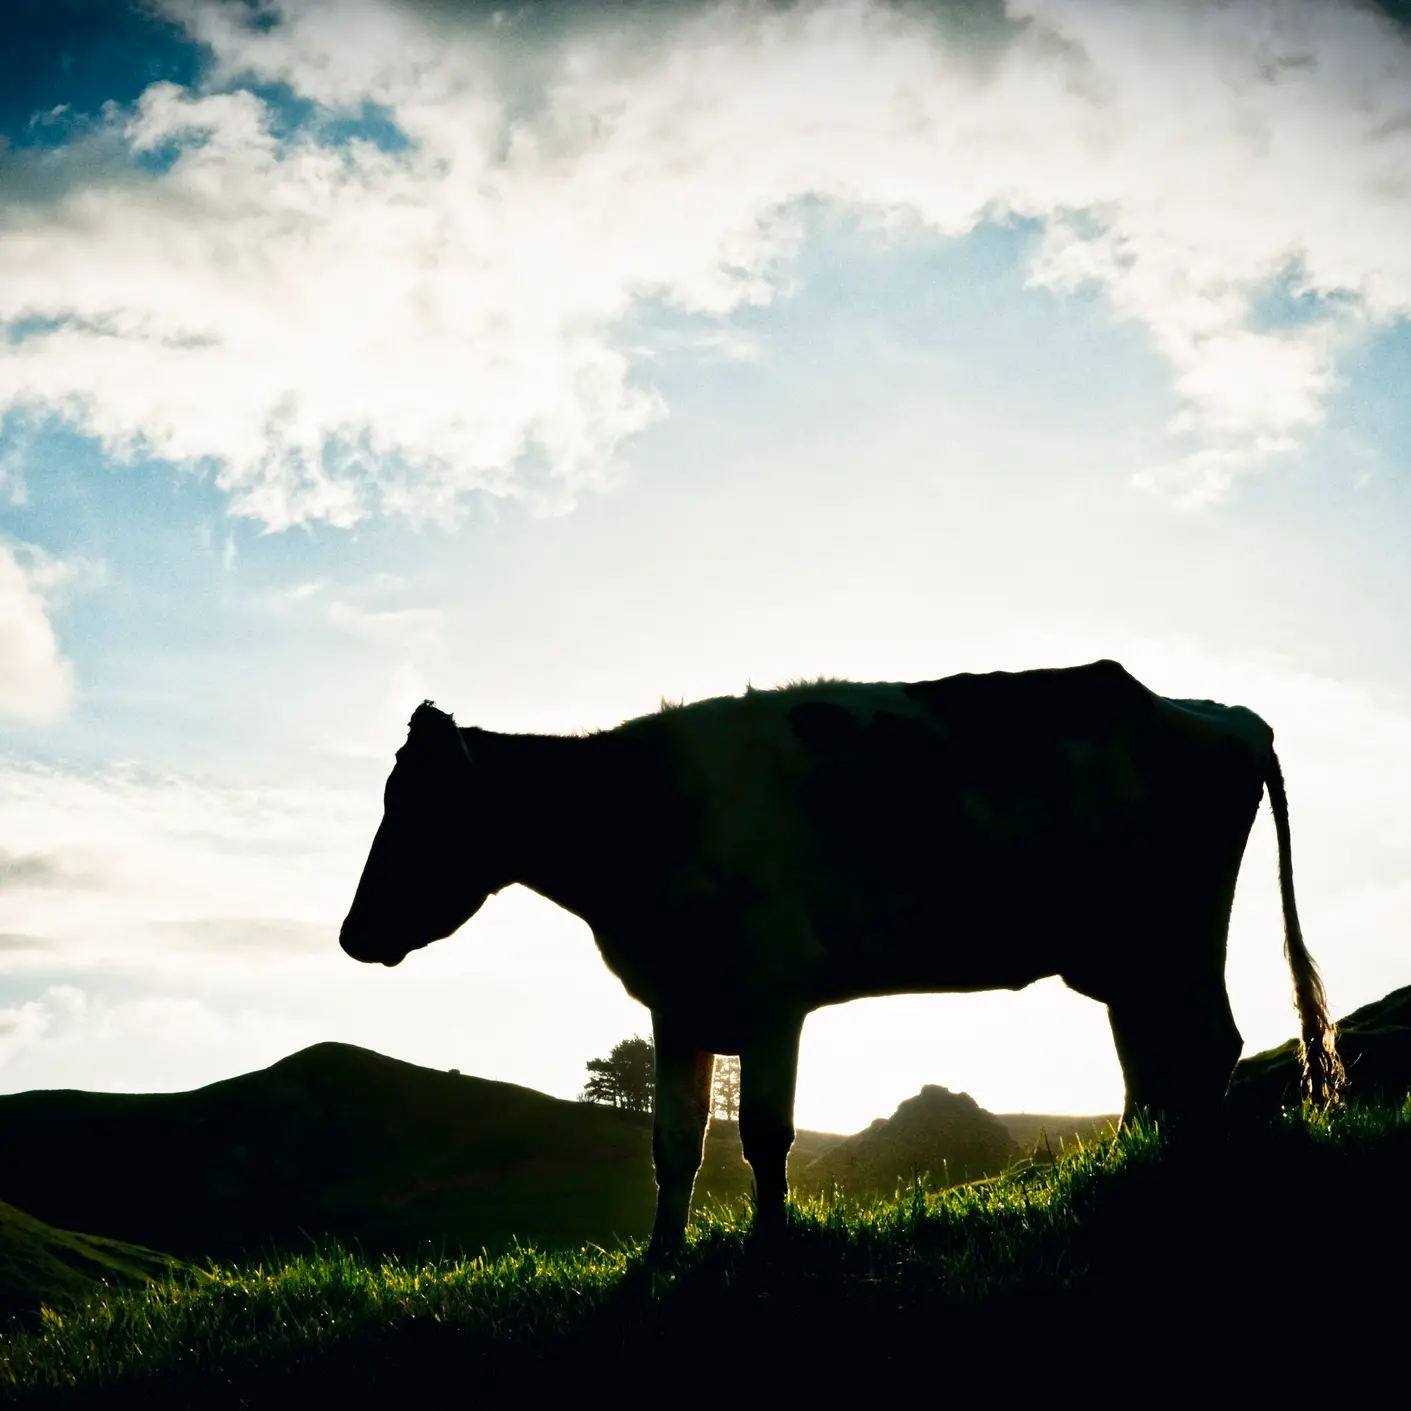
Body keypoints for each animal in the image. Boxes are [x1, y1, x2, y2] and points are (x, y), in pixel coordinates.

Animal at [339, 659, 1342, 1260]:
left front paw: (766, 1254)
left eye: (421, 806)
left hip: (1179, 928)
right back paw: (1138, 1169)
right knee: (1149, 1061)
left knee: (1206, 1046)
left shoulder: (770, 995)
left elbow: (762, 1137)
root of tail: (1218, 711)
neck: (649, 809)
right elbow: (674, 1144)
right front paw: (657, 1263)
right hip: (1125, 951)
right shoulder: (677, 1001)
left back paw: (1188, 1181)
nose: (353, 934)